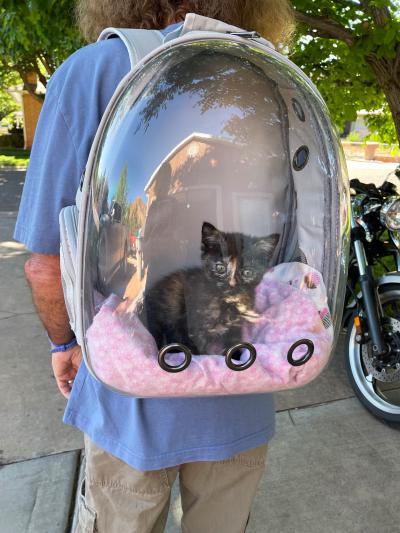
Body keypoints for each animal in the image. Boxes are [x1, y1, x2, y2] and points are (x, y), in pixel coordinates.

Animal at [140, 220, 278, 354]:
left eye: (247, 272)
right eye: (220, 267)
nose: (232, 284)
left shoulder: (235, 327)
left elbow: (234, 344)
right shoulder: (190, 328)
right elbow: (199, 352)